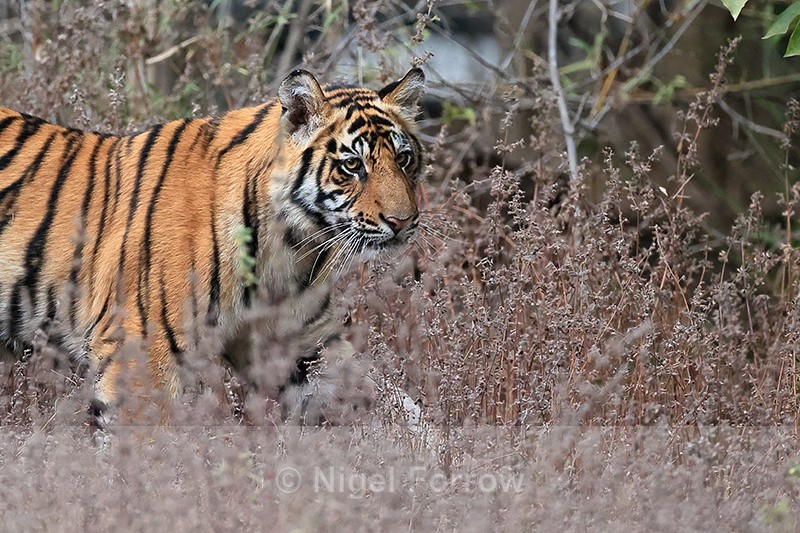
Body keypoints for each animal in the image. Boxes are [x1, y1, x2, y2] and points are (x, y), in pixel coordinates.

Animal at [0, 68, 425, 427]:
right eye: (352, 166)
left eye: (404, 159)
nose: (403, 221)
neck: (289, 244)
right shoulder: (141, 347)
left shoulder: (298, 342)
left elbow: (382, 396)